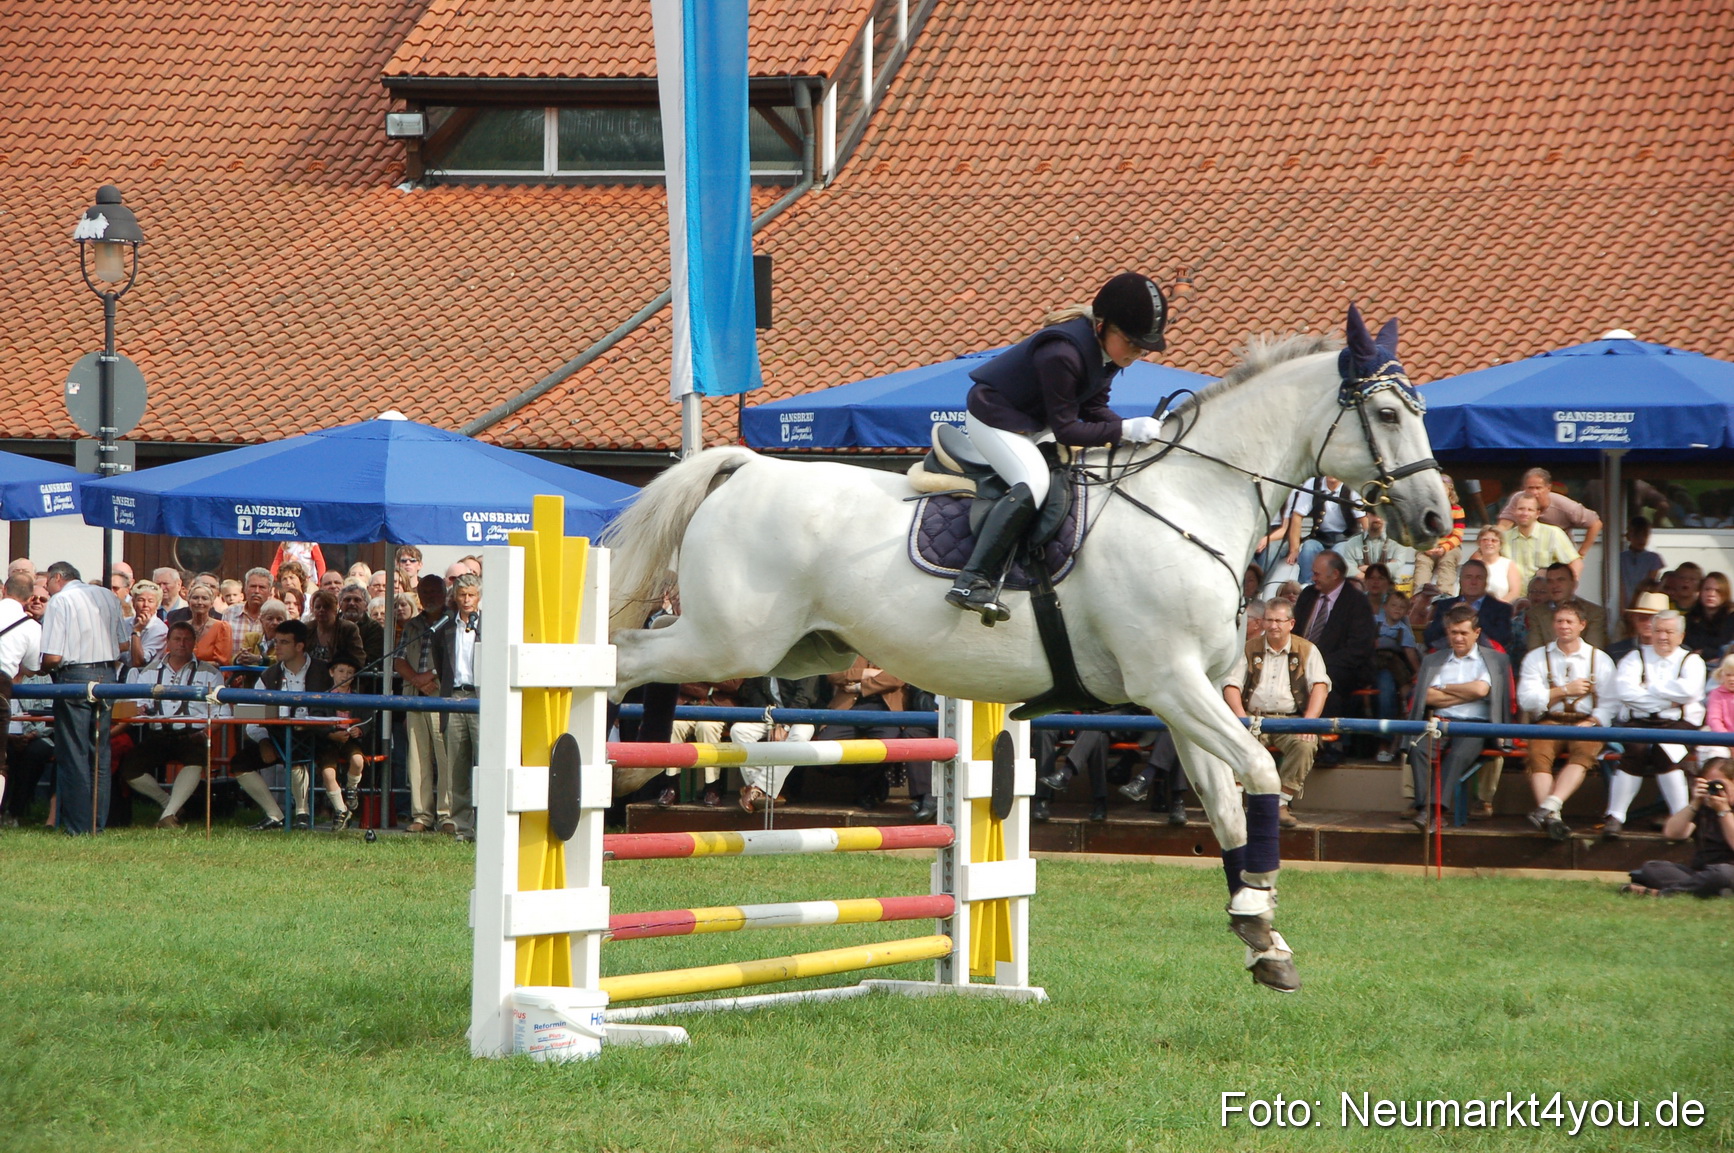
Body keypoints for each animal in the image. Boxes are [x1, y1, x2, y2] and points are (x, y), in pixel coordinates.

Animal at [600, 305, 1450, 991]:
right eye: (1385, 412)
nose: (1438, 520)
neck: (1190, 501)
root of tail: (743, 465)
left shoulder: (1192, 694)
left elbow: (1226, 801)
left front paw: (1260, 935)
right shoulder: (1169, 683)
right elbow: (1262, 772)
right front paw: (1262, 913)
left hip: (802, 649)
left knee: (650, 653)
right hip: (728, 640)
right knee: (624, 655)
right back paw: (605, 777)